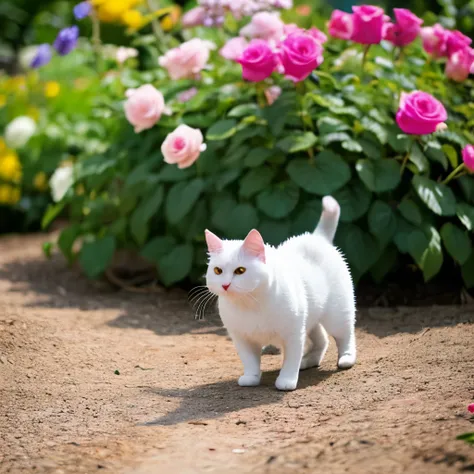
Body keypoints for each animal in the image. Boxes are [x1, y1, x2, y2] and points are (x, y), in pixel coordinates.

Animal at [204, 194, 356, 390]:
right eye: (217, 271)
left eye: (240, 271)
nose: (225, 285)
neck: (250, 303)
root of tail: (317, 237)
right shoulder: (242, 339)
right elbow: (250, 361)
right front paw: (251, 377)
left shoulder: (293, 334)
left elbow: (290, 360)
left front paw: (286, 381)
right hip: (310, 318)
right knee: (322, 340)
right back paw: (308, 361)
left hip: (336, 315)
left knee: (345, 336)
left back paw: (346, 358)